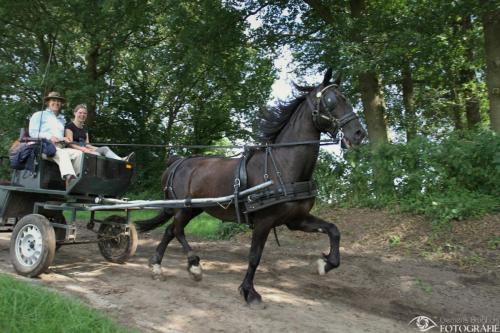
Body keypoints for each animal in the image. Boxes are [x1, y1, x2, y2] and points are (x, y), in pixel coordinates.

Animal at [135, 68, 366, 304]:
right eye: (331, 100)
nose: (359, 133)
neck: (282, 166)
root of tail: (176, 162)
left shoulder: (296, 219)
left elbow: (333, 230)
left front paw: (326, 264)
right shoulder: (264, 220)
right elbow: (255, 256)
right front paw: (249, 291)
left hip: (194, 208)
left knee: (170, 230)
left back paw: (158, 265)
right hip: (184, 207)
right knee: (177, 229)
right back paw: (193, 264)